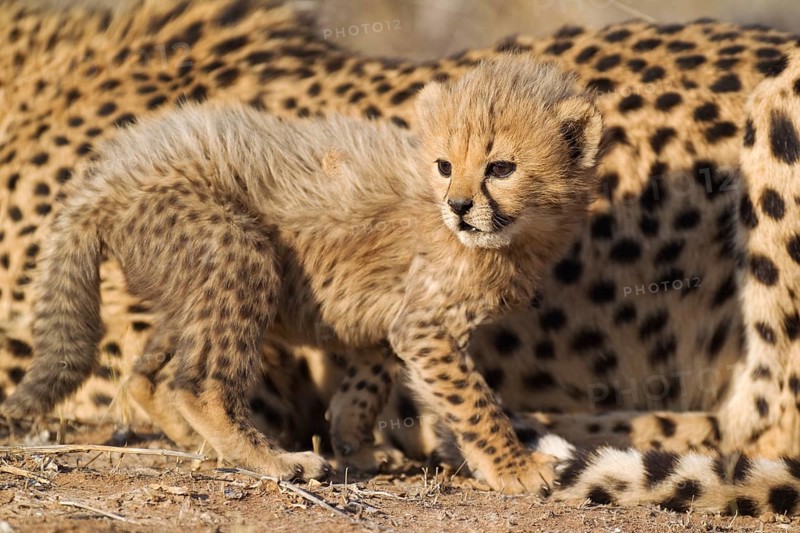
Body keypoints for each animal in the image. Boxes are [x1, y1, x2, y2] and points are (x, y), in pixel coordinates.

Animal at [2, 0, 800, 514]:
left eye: (502, 167)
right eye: (445, 164)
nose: (459, 205)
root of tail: (114, 177)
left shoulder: (389, 322)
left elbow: (387, 382)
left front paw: (383, 444)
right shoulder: (405, 318)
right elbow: (426, 384)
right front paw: (493, 461)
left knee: (761, 421)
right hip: (222, 248)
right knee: (179, 379)